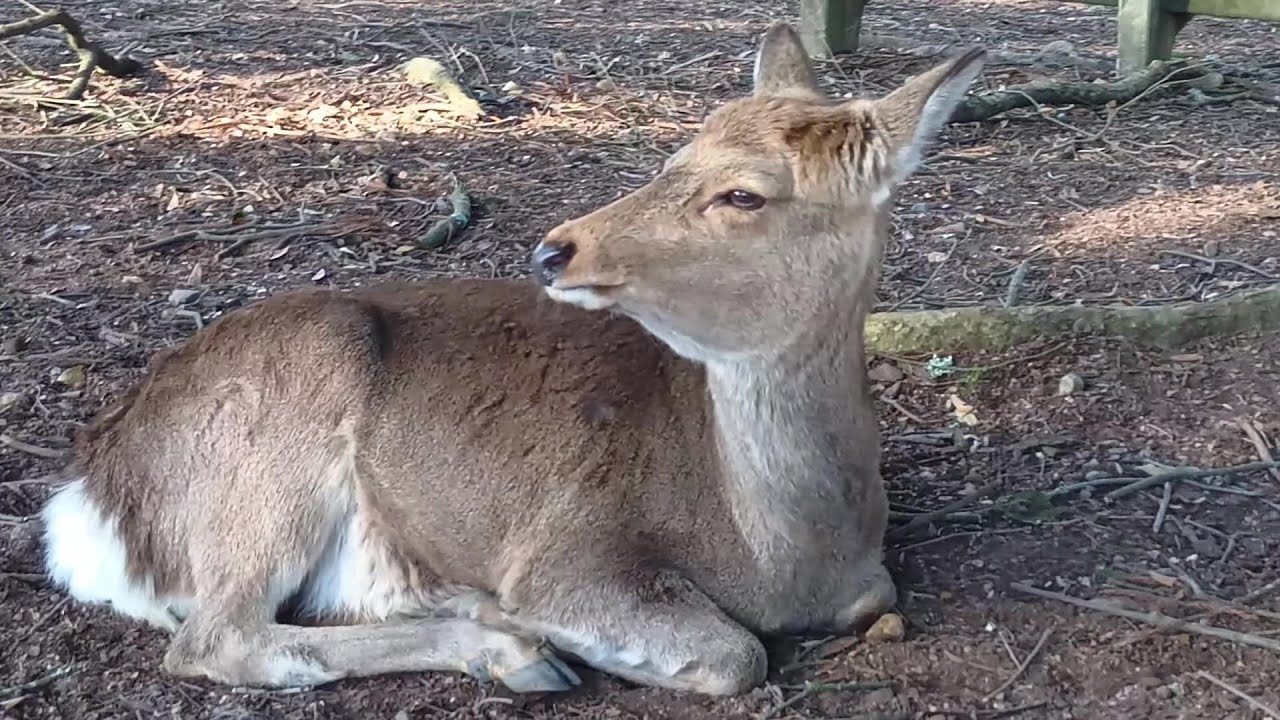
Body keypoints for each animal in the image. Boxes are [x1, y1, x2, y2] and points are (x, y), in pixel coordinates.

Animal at [39, 24, 985, 696]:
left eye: (744, 193)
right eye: (672, 156)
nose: (556, 248)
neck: (781, 552)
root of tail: (90, 494)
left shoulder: (866, 579)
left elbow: (873, 598)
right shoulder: (570, 547)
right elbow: (732, 655)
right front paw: (527, 621)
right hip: (285, 415)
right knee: (219, 636)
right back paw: (509, 646)